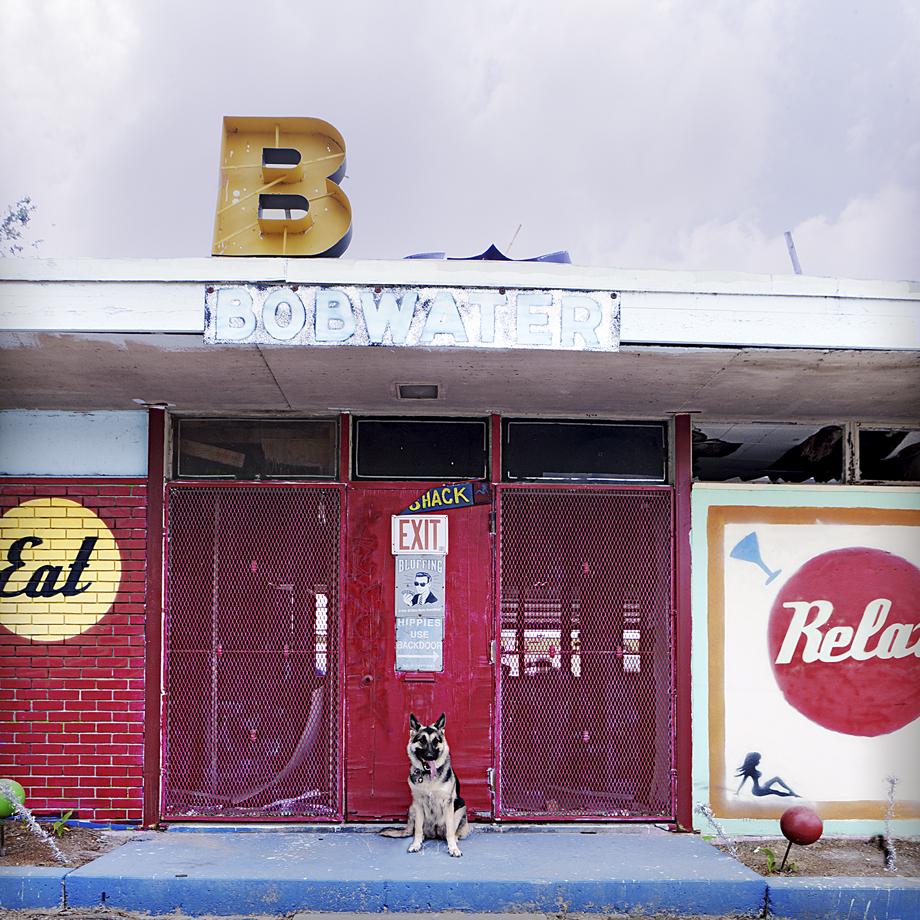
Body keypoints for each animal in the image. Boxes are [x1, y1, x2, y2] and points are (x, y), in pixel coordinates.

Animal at [380, 712, 470, 856]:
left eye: (436, 741)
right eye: (421, 740)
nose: (429, 756)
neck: (428, 776)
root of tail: (435, 833)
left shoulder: (448, 803)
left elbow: (450, 831)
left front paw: (453, 848)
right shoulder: (418, 803)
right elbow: (417, 829)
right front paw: (416, 844)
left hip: (461, 808)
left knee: (451, 832)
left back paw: (454, 840)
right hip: (412, 808)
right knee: (416, 831)